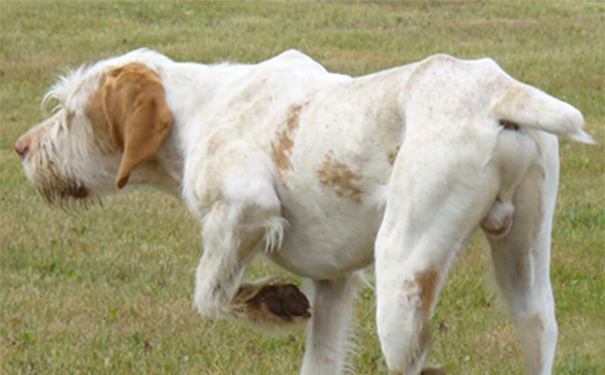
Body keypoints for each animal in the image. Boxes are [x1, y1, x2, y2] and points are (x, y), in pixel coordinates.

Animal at [15, 50, 596, 375]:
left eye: (71, 114)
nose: (20, 147)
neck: (199, 109)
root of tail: (496, 91)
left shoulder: (247, 207)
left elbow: (211, 295)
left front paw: (269, 301)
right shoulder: (334, 283)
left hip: (401, 277)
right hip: (526, 283)